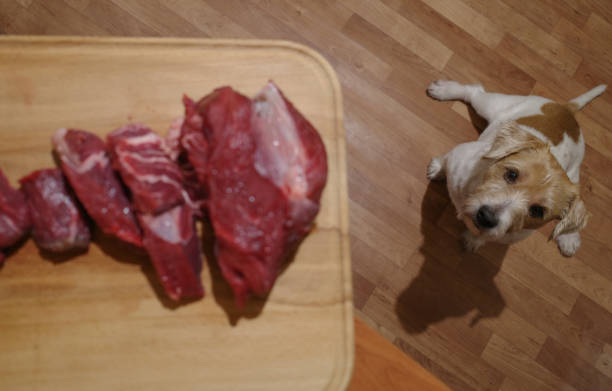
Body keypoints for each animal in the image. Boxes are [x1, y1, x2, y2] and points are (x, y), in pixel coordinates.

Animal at [428, 79, 604, 258]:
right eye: (512, 174)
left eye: (537, 211)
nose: (487, 217)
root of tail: (567, 110)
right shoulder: (458, 157)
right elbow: (445, 161)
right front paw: (437, 169)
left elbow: (484, 237)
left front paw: (474, 240)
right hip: (491, 105)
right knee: (474, 91)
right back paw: (445, 90)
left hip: (575, 173)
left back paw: (569, 238)